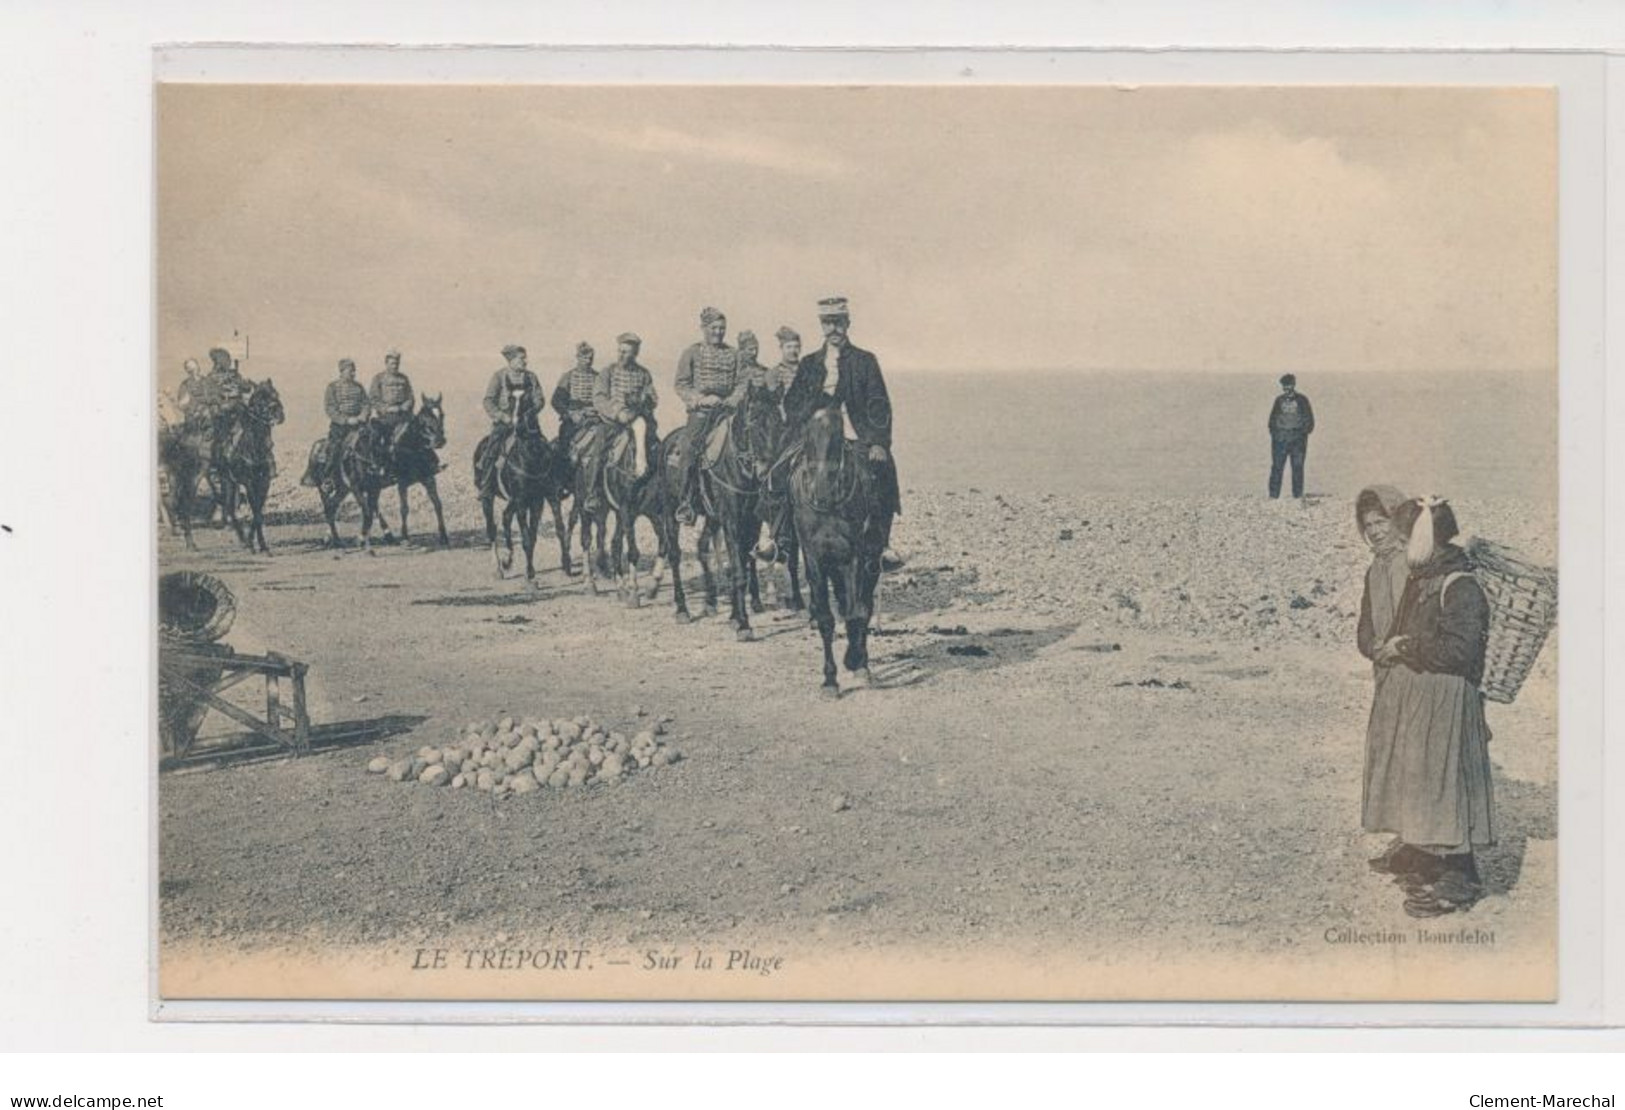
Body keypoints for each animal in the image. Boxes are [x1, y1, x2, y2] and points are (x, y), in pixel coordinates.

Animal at [214, 380, 284, 555]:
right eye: (260, 400)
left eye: (275, 394)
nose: (278, 413)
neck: (254, 447)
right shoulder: (250, 483)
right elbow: (255, 511)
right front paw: (251, 544)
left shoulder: (265, 483)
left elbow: (258, 513)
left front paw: (262, 545)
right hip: (227, 480)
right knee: (230, 509)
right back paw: (242, 540)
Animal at [650, 386, 783, 637]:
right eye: (754, 421)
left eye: (779, 420)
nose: (767, 470)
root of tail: (667, 444)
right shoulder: (732, 522)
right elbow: (738, 569)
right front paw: (743, 624)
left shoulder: (751, 520)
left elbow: (745, 559)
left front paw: (738, 613)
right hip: (671, 512)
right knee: (674, 554)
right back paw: (682, 609)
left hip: (712, 518)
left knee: (702, 547)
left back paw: (710, 602)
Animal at [789, 403, 884, 698]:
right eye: (807, 432)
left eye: (839, 433)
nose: (821, 488)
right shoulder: (815, 560)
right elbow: (826, 619)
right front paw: (830, 680)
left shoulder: (853, 557)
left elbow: (856, 613)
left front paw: (855, 661)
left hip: (868, 562)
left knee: (863, 606)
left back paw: (860, 660)